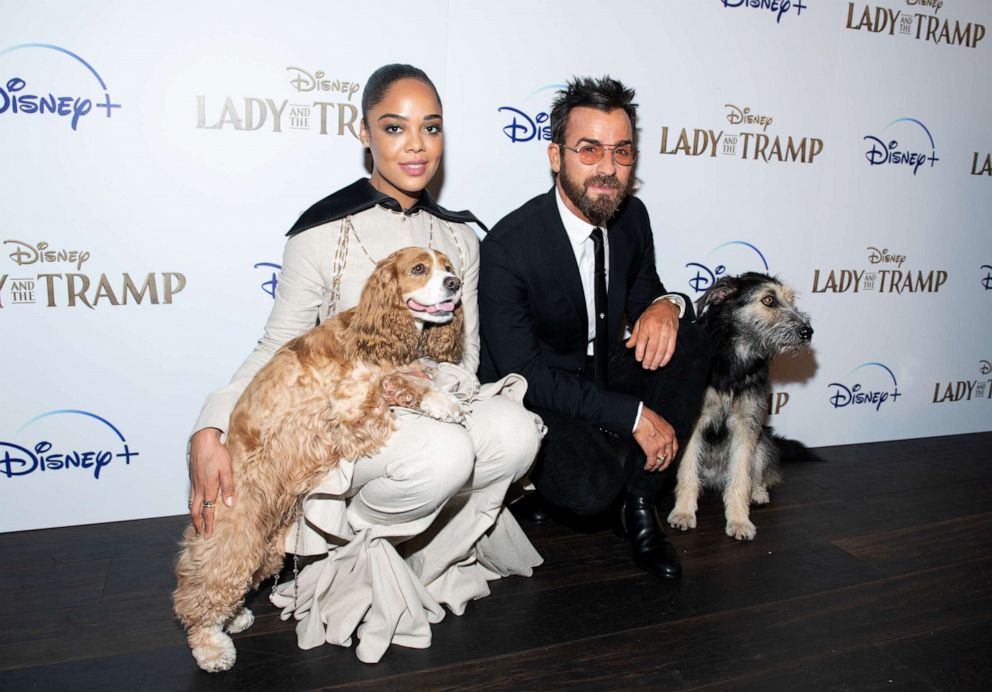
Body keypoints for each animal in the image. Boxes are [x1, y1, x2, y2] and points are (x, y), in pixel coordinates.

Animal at [668, 272, 812, 540]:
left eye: (791, 300)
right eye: (768, 300)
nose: (808, 331)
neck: (735, 362)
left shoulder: (747, 425)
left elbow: (741, 478)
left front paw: (739, 520)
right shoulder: (694, 423)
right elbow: (687, 472)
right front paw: (683, 512)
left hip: (764, 441)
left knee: (758, 475)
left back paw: (758, 492)